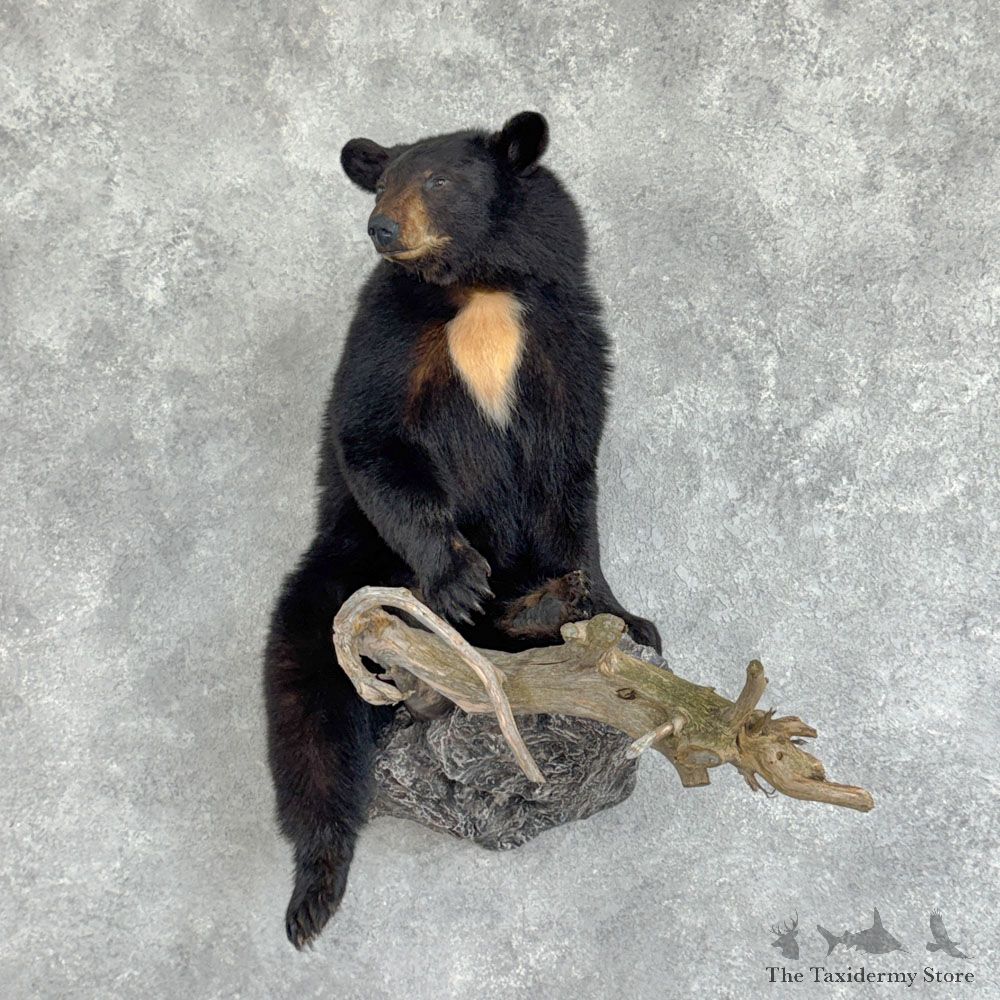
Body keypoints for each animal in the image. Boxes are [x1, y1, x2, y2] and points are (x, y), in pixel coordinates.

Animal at [263, 111, 661, 949]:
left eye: (440, 181)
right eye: (381, 182)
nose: (381, 228)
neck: (478, 289)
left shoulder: (563, 333)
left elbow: (571, 471)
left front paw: (618, 611)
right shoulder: (386, 330)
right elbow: (372, 435)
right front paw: (458, 579)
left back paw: (535, 613)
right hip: (345, 575)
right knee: (306, 715)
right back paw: (315, 890)